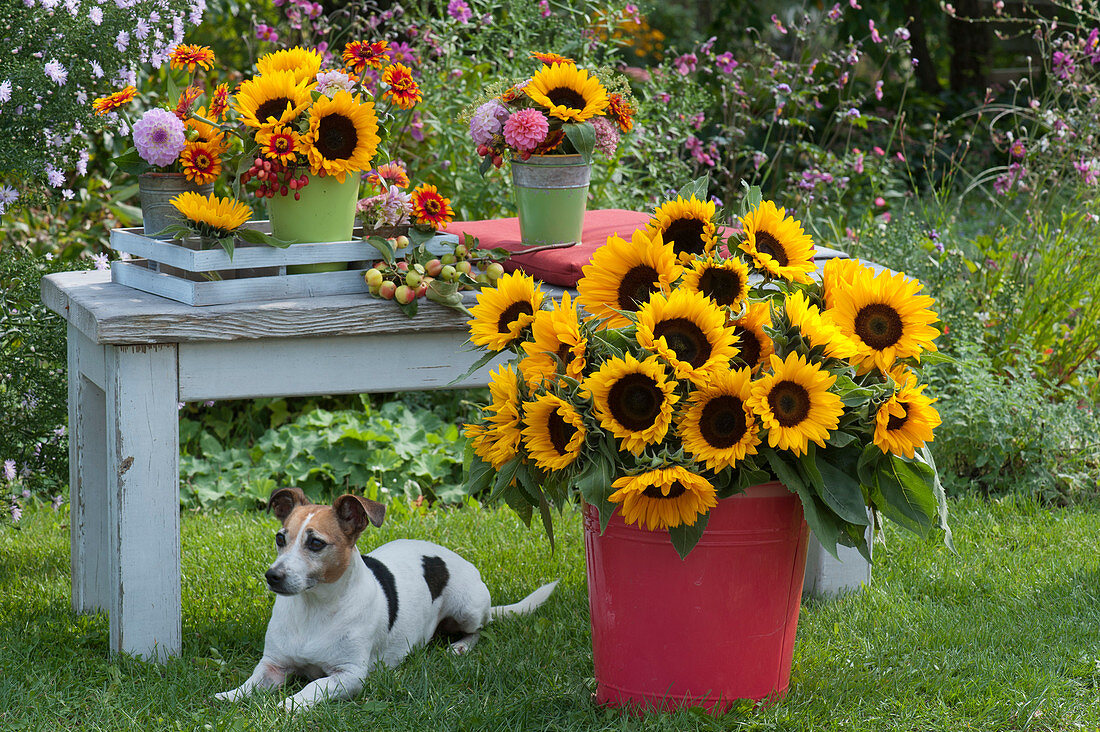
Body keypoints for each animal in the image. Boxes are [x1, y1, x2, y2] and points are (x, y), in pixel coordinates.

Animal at [214, 488, 558, 708]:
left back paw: (459, 646)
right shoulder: (273, 665)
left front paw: (289, 705)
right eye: (280, 538)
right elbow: (251, 683)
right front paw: (230, 695)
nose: (272, 576)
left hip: (468, 609)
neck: (314, 608)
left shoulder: (349, 675)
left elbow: (313, 687)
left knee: (480, 629)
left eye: (315, 543)